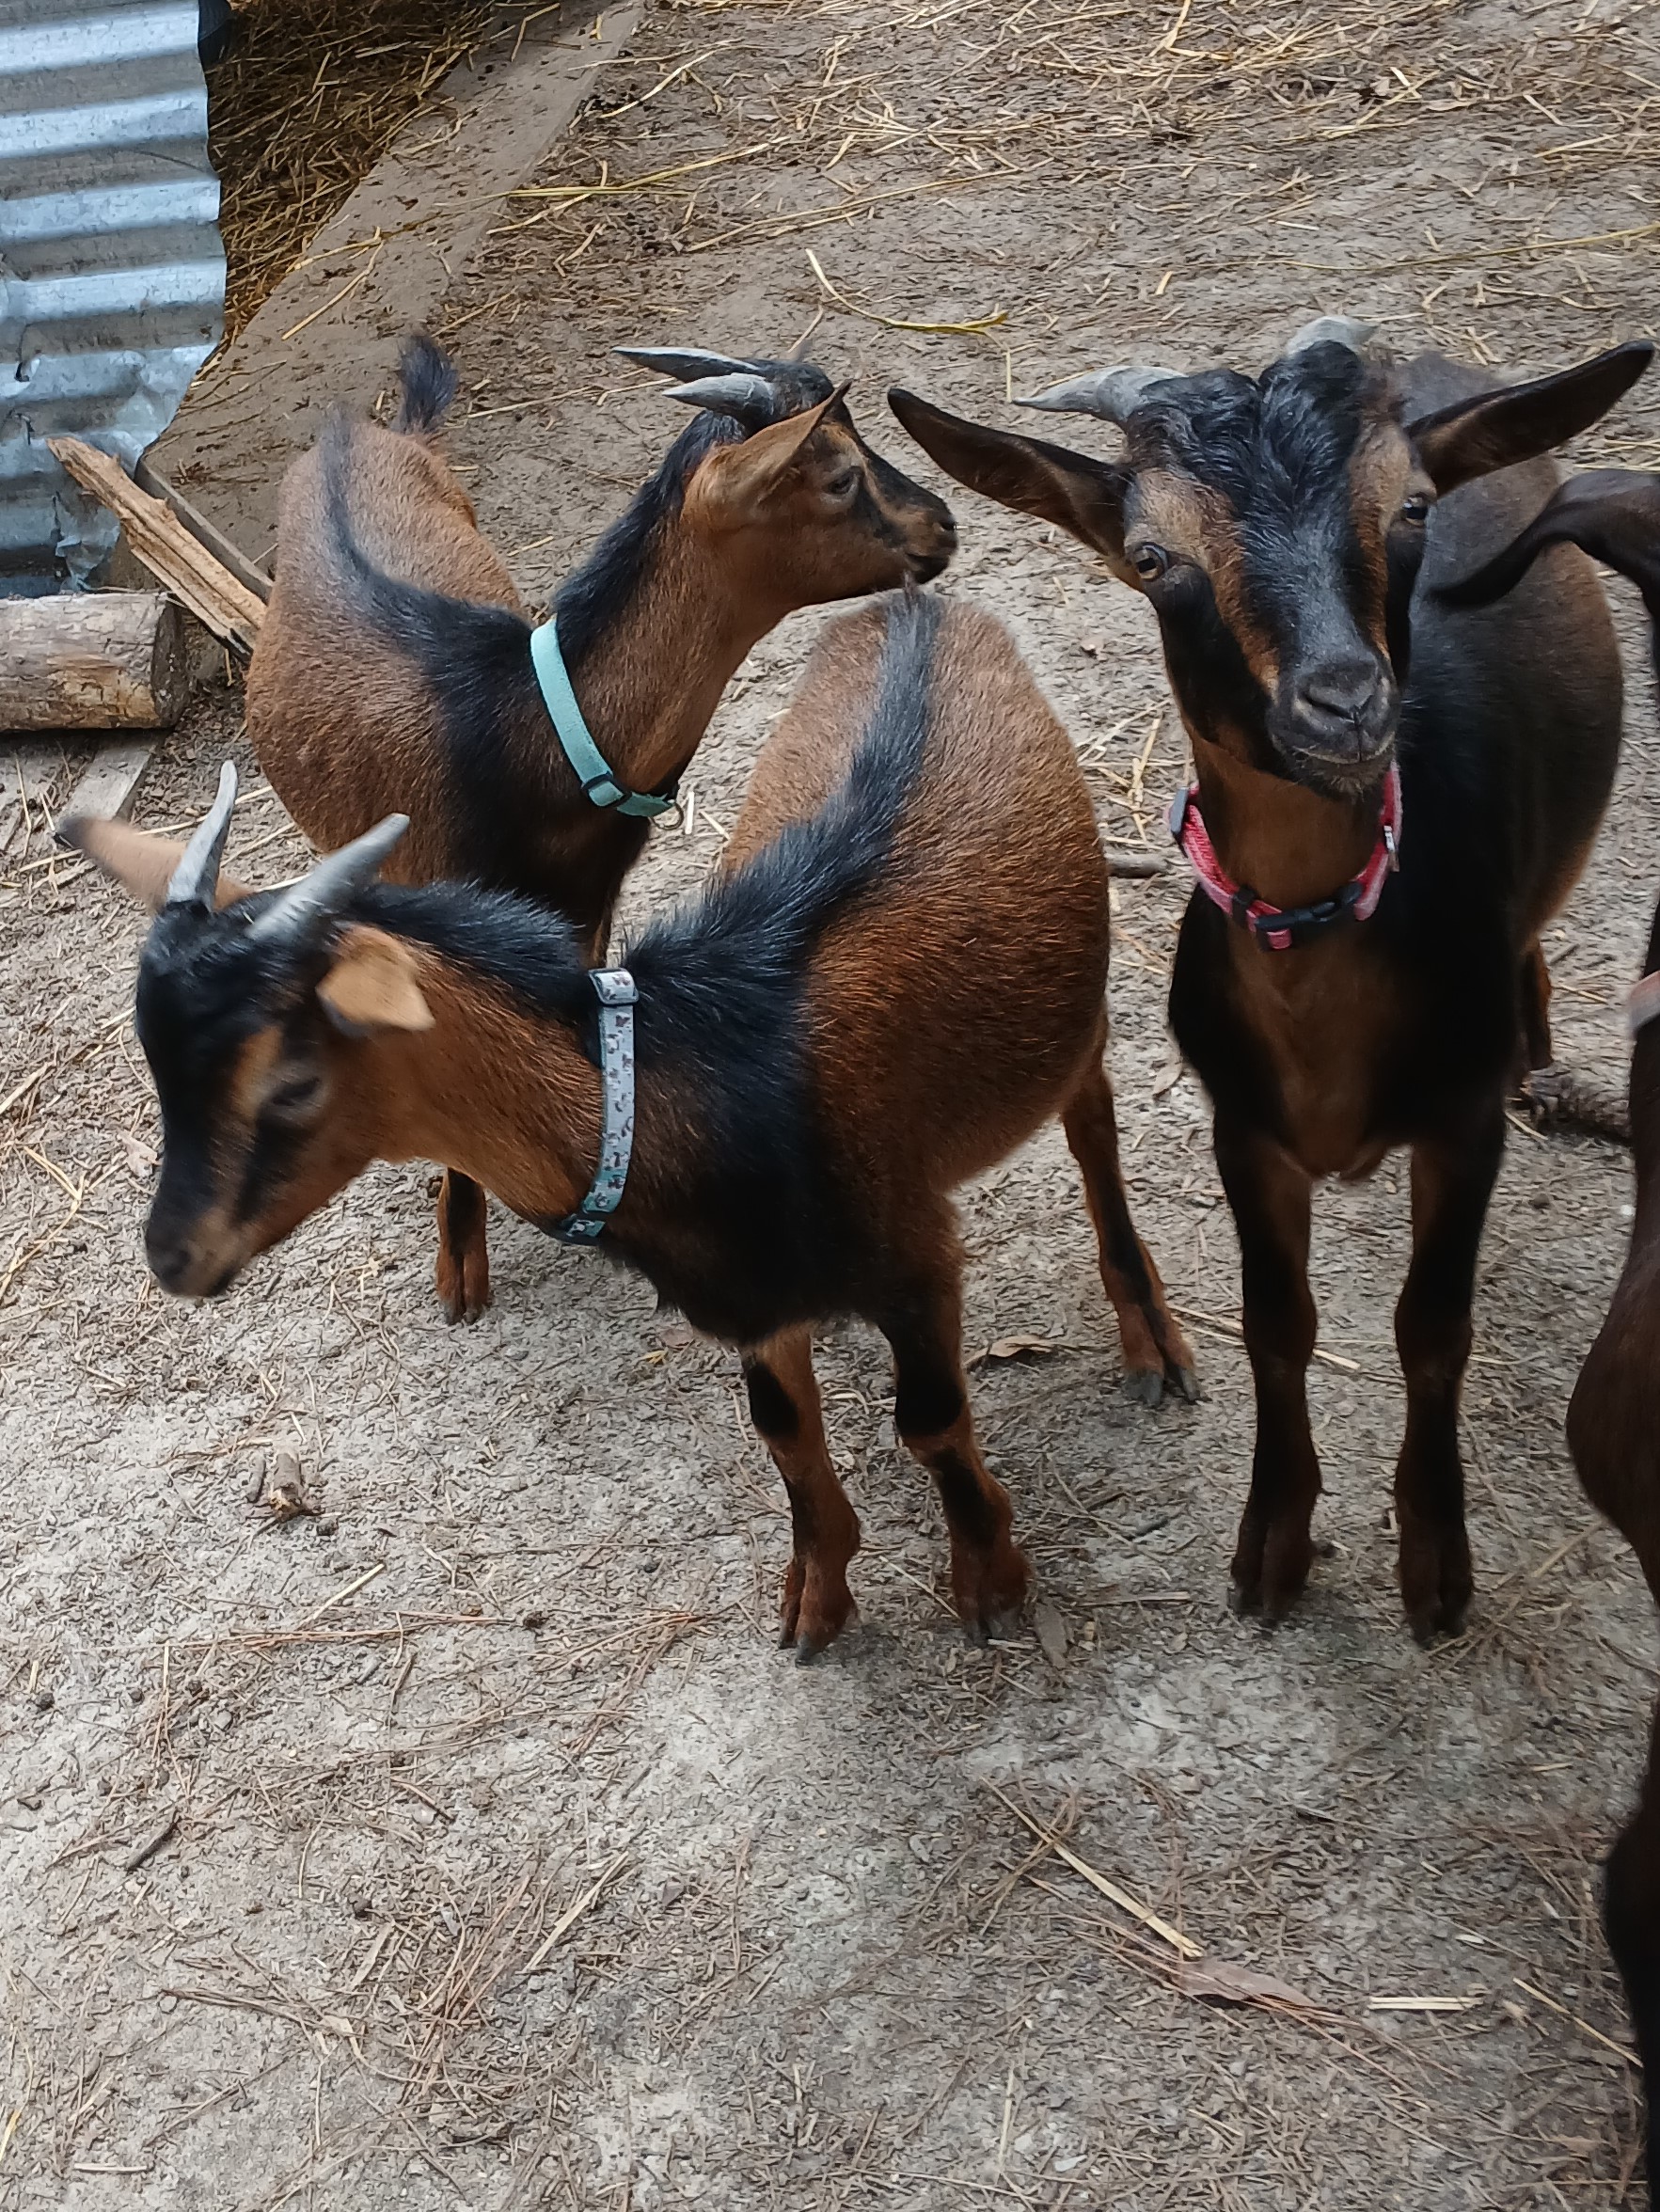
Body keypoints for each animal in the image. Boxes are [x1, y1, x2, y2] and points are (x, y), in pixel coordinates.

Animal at [65, 589, 1194, 1654]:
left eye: (292, 1082)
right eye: (156, 1062)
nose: (173, 1256)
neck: (679, 1086)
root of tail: (919, 603)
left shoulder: (915, 1252)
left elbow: (930, 1420)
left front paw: (990, 1581)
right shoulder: (750, 1296)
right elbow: (783, 1430)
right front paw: (816, 1597)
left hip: (1073, 1019)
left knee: (1093, 1118)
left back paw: (1152, 1342)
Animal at [247, 333, 956, 1323]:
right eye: (840, 476)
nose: (942, 526)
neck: (528, 733)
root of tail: (369, 430)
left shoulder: (588, 904)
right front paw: (459, 1272)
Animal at [889, 323, 1652, 1640]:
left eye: (1408, 507)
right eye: (1152, 557)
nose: (1343, 702)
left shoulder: (1458, 1124)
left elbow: (1430, 1330)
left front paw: (1433, 1566)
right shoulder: (1241, 1125)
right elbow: (1275, 1326)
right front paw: (1272, 1550)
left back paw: (1544, 1048)